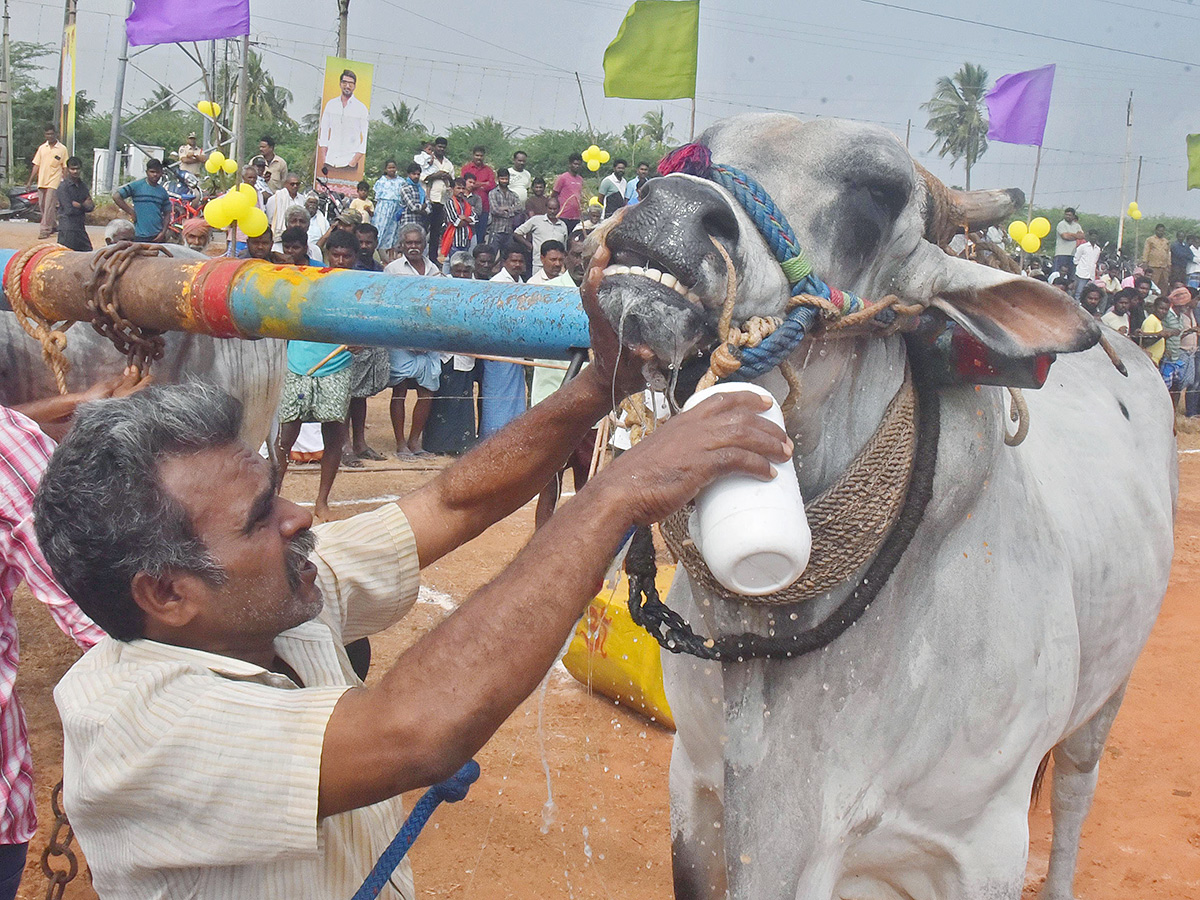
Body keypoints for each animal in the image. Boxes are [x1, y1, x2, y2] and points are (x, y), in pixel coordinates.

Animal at [585, 112, 1176, 900]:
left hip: (1108, 693)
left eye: (878, 191)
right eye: (696, 152)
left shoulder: (981, 845)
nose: (673, 208)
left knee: (1078, 790)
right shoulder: (696, 793)